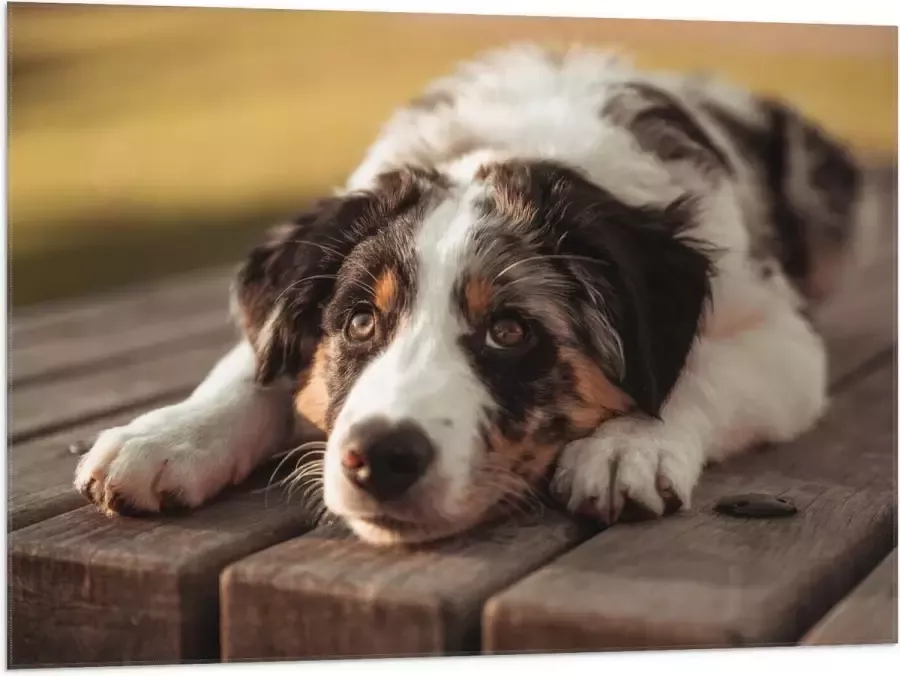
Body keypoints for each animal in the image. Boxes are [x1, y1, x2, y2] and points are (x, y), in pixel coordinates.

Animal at [74, 45, 876, 544]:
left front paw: (629, 446)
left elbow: (698, 369)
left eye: (510, 331)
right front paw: (167, 437)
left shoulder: (782, 338)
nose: (379, 459)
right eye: (359, 322)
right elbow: (251, 362)